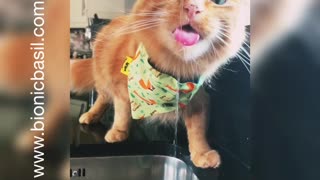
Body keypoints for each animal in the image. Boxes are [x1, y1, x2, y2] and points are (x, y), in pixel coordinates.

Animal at [71, 0, 249, 169]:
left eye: (219, 2)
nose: (193, 7)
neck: (174, 71)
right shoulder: (121, 88)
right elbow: (122, 113)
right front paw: (118, 131)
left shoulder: (199, 99)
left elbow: (197, 131)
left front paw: (201, 153)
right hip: (103, 79)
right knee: (102, 99)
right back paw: (91, 115)